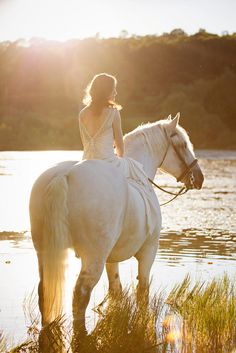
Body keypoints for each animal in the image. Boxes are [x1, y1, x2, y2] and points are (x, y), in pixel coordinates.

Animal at [29, 114, 203, 332]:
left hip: (45, 252)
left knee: (44, 291)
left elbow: (116, 290)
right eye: (182, 144)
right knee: (80, 296)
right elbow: (142, 291)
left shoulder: (111, 259)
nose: (199, 178)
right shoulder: (149, 250)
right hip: (93, 257)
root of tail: (64, 175)